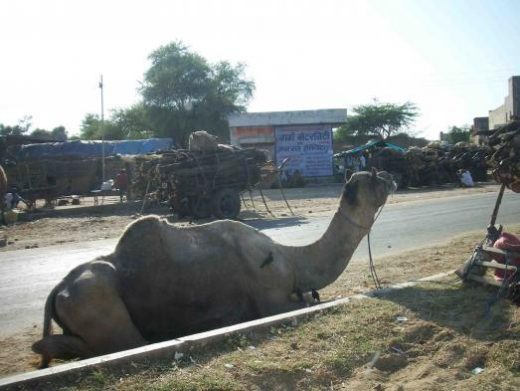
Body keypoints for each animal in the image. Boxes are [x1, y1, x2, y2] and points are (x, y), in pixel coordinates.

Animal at [32, 170, 396, 370]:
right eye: (371, 177)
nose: (391, 177)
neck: (291, 258)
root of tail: (58, 289)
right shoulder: (272, 300)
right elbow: (305, 300)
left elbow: (312, 295)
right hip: (97, 302)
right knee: (118, 342)